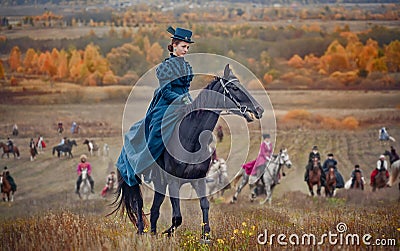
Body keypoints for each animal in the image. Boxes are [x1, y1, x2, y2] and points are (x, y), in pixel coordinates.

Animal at [111, 64, 264, 241]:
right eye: (234, 87)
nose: (259, 109)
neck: (191, 138)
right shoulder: (174, 182)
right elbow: (177, 217)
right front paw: (167, 233)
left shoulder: (199, 180)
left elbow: (205, 205)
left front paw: (205, 236)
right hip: (134, 180)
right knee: (138, 204)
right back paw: (142, 232)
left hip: (160, 184)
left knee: (154, 210)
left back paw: (153, 234)